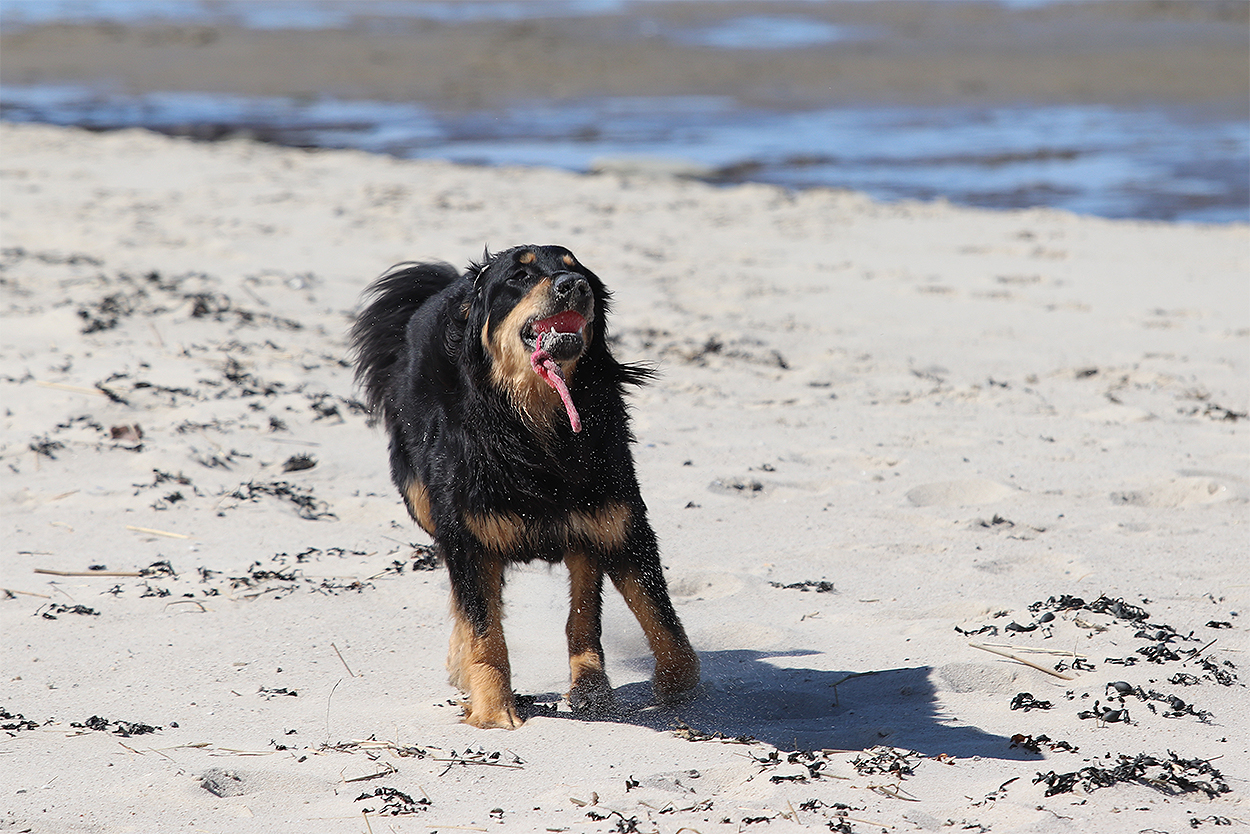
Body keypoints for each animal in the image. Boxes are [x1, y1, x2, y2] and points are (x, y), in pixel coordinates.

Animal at [351, 244, 699, 728]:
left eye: (577, 270)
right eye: (520, 275)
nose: (574, 286)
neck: (535, 421)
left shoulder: (619, 523)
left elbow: (659, 617)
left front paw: (673, 688)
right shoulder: (468, 536)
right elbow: (483, 629)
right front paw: (493, 710)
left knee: (582, 607)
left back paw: (591, 684)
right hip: (423, 499)